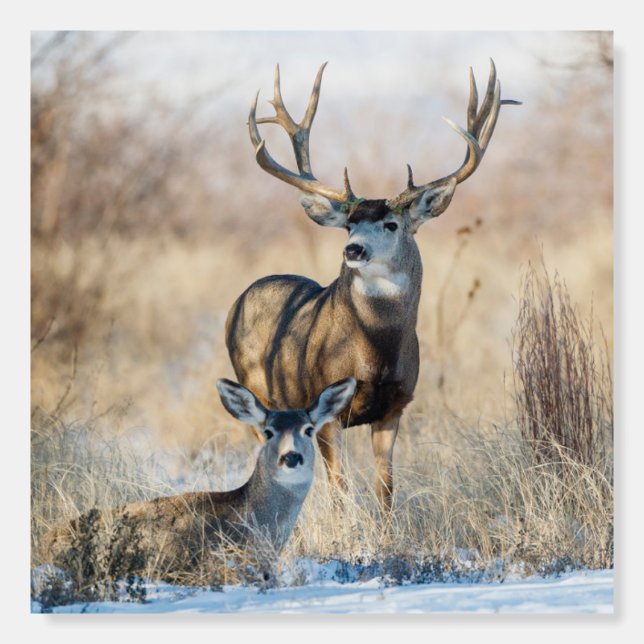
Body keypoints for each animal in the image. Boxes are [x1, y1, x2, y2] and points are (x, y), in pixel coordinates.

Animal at [225, 60, 520, 511]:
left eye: (391, 223)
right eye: (349, 224)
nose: (353, 249)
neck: (375, 353)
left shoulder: (395, 406)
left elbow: (385, 489)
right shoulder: (325, 409)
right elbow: (341, 490)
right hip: (258, 392)